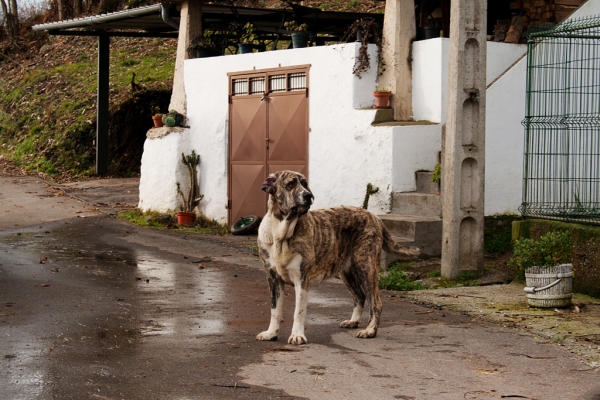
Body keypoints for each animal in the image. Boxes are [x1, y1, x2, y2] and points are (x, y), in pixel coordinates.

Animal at [255, 170, 420, 344]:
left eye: (305, 184)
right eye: (290, 184)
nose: (308, 195)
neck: (281, 234)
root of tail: (374, 216)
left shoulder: (302, 279)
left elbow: (298, 311)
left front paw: (297, 335)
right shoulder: (273, 278)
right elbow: (275, 310)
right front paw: (271, 333)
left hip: (366, 267)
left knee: (376, 302)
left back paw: (370, 330)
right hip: (347, 272)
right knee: (360, 296)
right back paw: (353, 321)